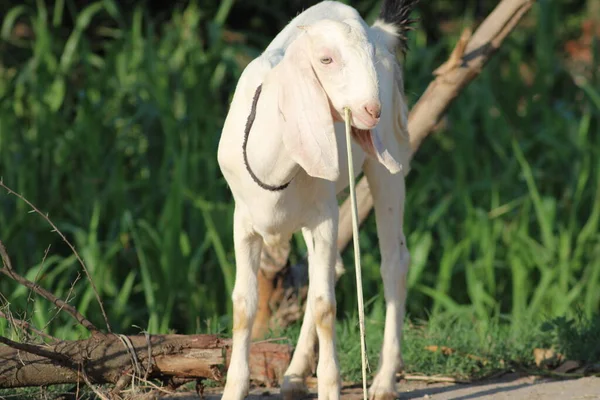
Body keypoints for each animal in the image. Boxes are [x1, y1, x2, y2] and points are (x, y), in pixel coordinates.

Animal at [217, 1, 418, 398]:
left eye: (368, 57)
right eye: (326, 59)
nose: (372, 110)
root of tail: (383, 30)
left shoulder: (322, 218)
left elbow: (327, 307)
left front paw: (330, 385)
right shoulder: (243, 223)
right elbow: (244, 304)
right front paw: (233, 389)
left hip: (387, 165)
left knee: (394, 262)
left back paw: (384, 381)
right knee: (332, 269)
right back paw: (294, 376)